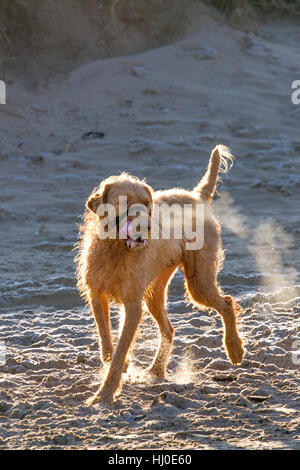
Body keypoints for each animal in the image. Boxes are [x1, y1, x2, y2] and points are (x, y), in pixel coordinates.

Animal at [75, 144, 244, 404]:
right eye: (123, 203)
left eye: (147, 203)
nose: (146, 227)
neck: (115, 248)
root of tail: (197, 196)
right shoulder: (97, 296)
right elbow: (106, 343)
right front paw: (120, 365)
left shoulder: (133, 306)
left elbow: (119, 351)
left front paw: (104, 394)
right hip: (154, 292)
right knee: (169, 328)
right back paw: (156, 370)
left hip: (198, 283)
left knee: (226, 303)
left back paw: (234, 348)